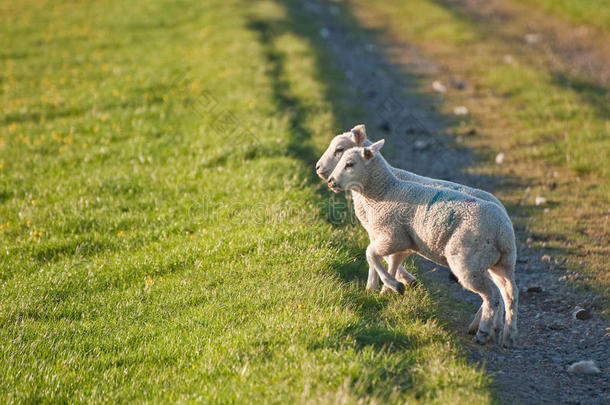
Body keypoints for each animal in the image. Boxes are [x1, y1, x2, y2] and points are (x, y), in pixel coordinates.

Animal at [326, 140, 516, 348]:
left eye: (349, 164)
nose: (331, 181)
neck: (384, 192)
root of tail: (502, 230)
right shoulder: (404, 242)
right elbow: (391, 262)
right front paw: (386, 290)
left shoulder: (392, 236)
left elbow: (371, 254)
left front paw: (392, 286)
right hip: (501, 262)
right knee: (509, 294)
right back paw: (507, 335)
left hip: (468, 260)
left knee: (491, 295)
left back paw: (483, 331)